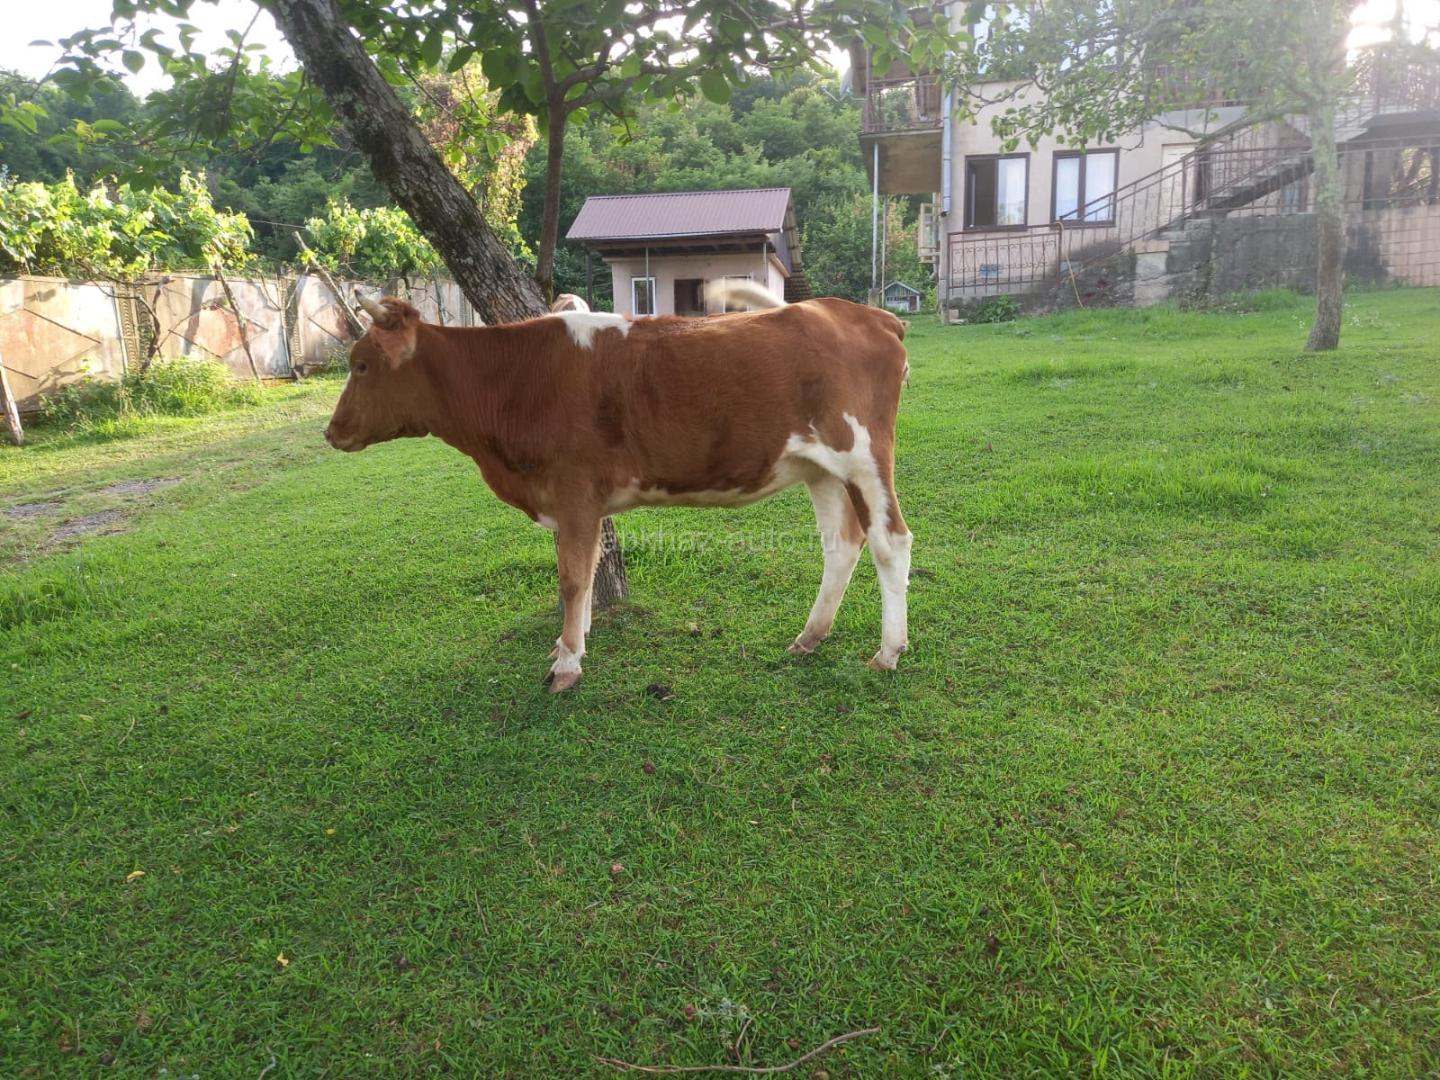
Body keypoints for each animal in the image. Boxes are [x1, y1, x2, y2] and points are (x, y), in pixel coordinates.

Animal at [325, 282, 912, 692]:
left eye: (362, 365)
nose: (332, 432)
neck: (514, 382)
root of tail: (860, 313)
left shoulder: (573, 492)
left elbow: (571, 578)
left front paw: (566, 662)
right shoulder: (577, 502)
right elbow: (586, 572)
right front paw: (571, 644)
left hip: (863, 454)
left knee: (890, 543)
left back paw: (888, 651)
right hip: (820, 469)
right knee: (841, 544)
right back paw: (809, 637)